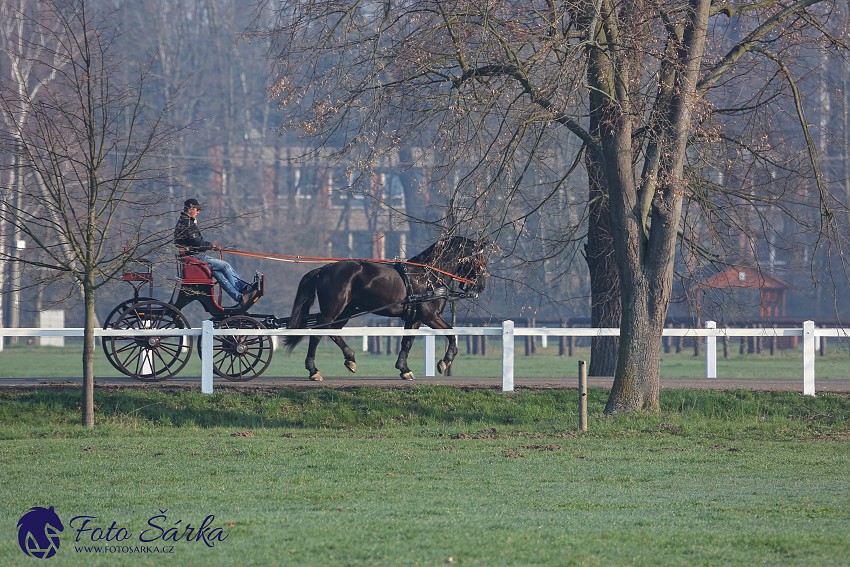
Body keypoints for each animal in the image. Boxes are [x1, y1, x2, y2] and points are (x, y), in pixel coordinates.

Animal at [284, 235, 486, 382]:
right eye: (480, 260)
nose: (481, 286)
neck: (429, 277)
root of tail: (324, 269)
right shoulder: (430, 316)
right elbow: (451, 333)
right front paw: (445, 360)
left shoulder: (415, 318)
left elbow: (407, 342)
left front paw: (404, 369)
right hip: (332, 311)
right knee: (318, 333)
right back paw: (313, 370)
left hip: (345, 311)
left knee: (333, 332)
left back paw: (350, 358)